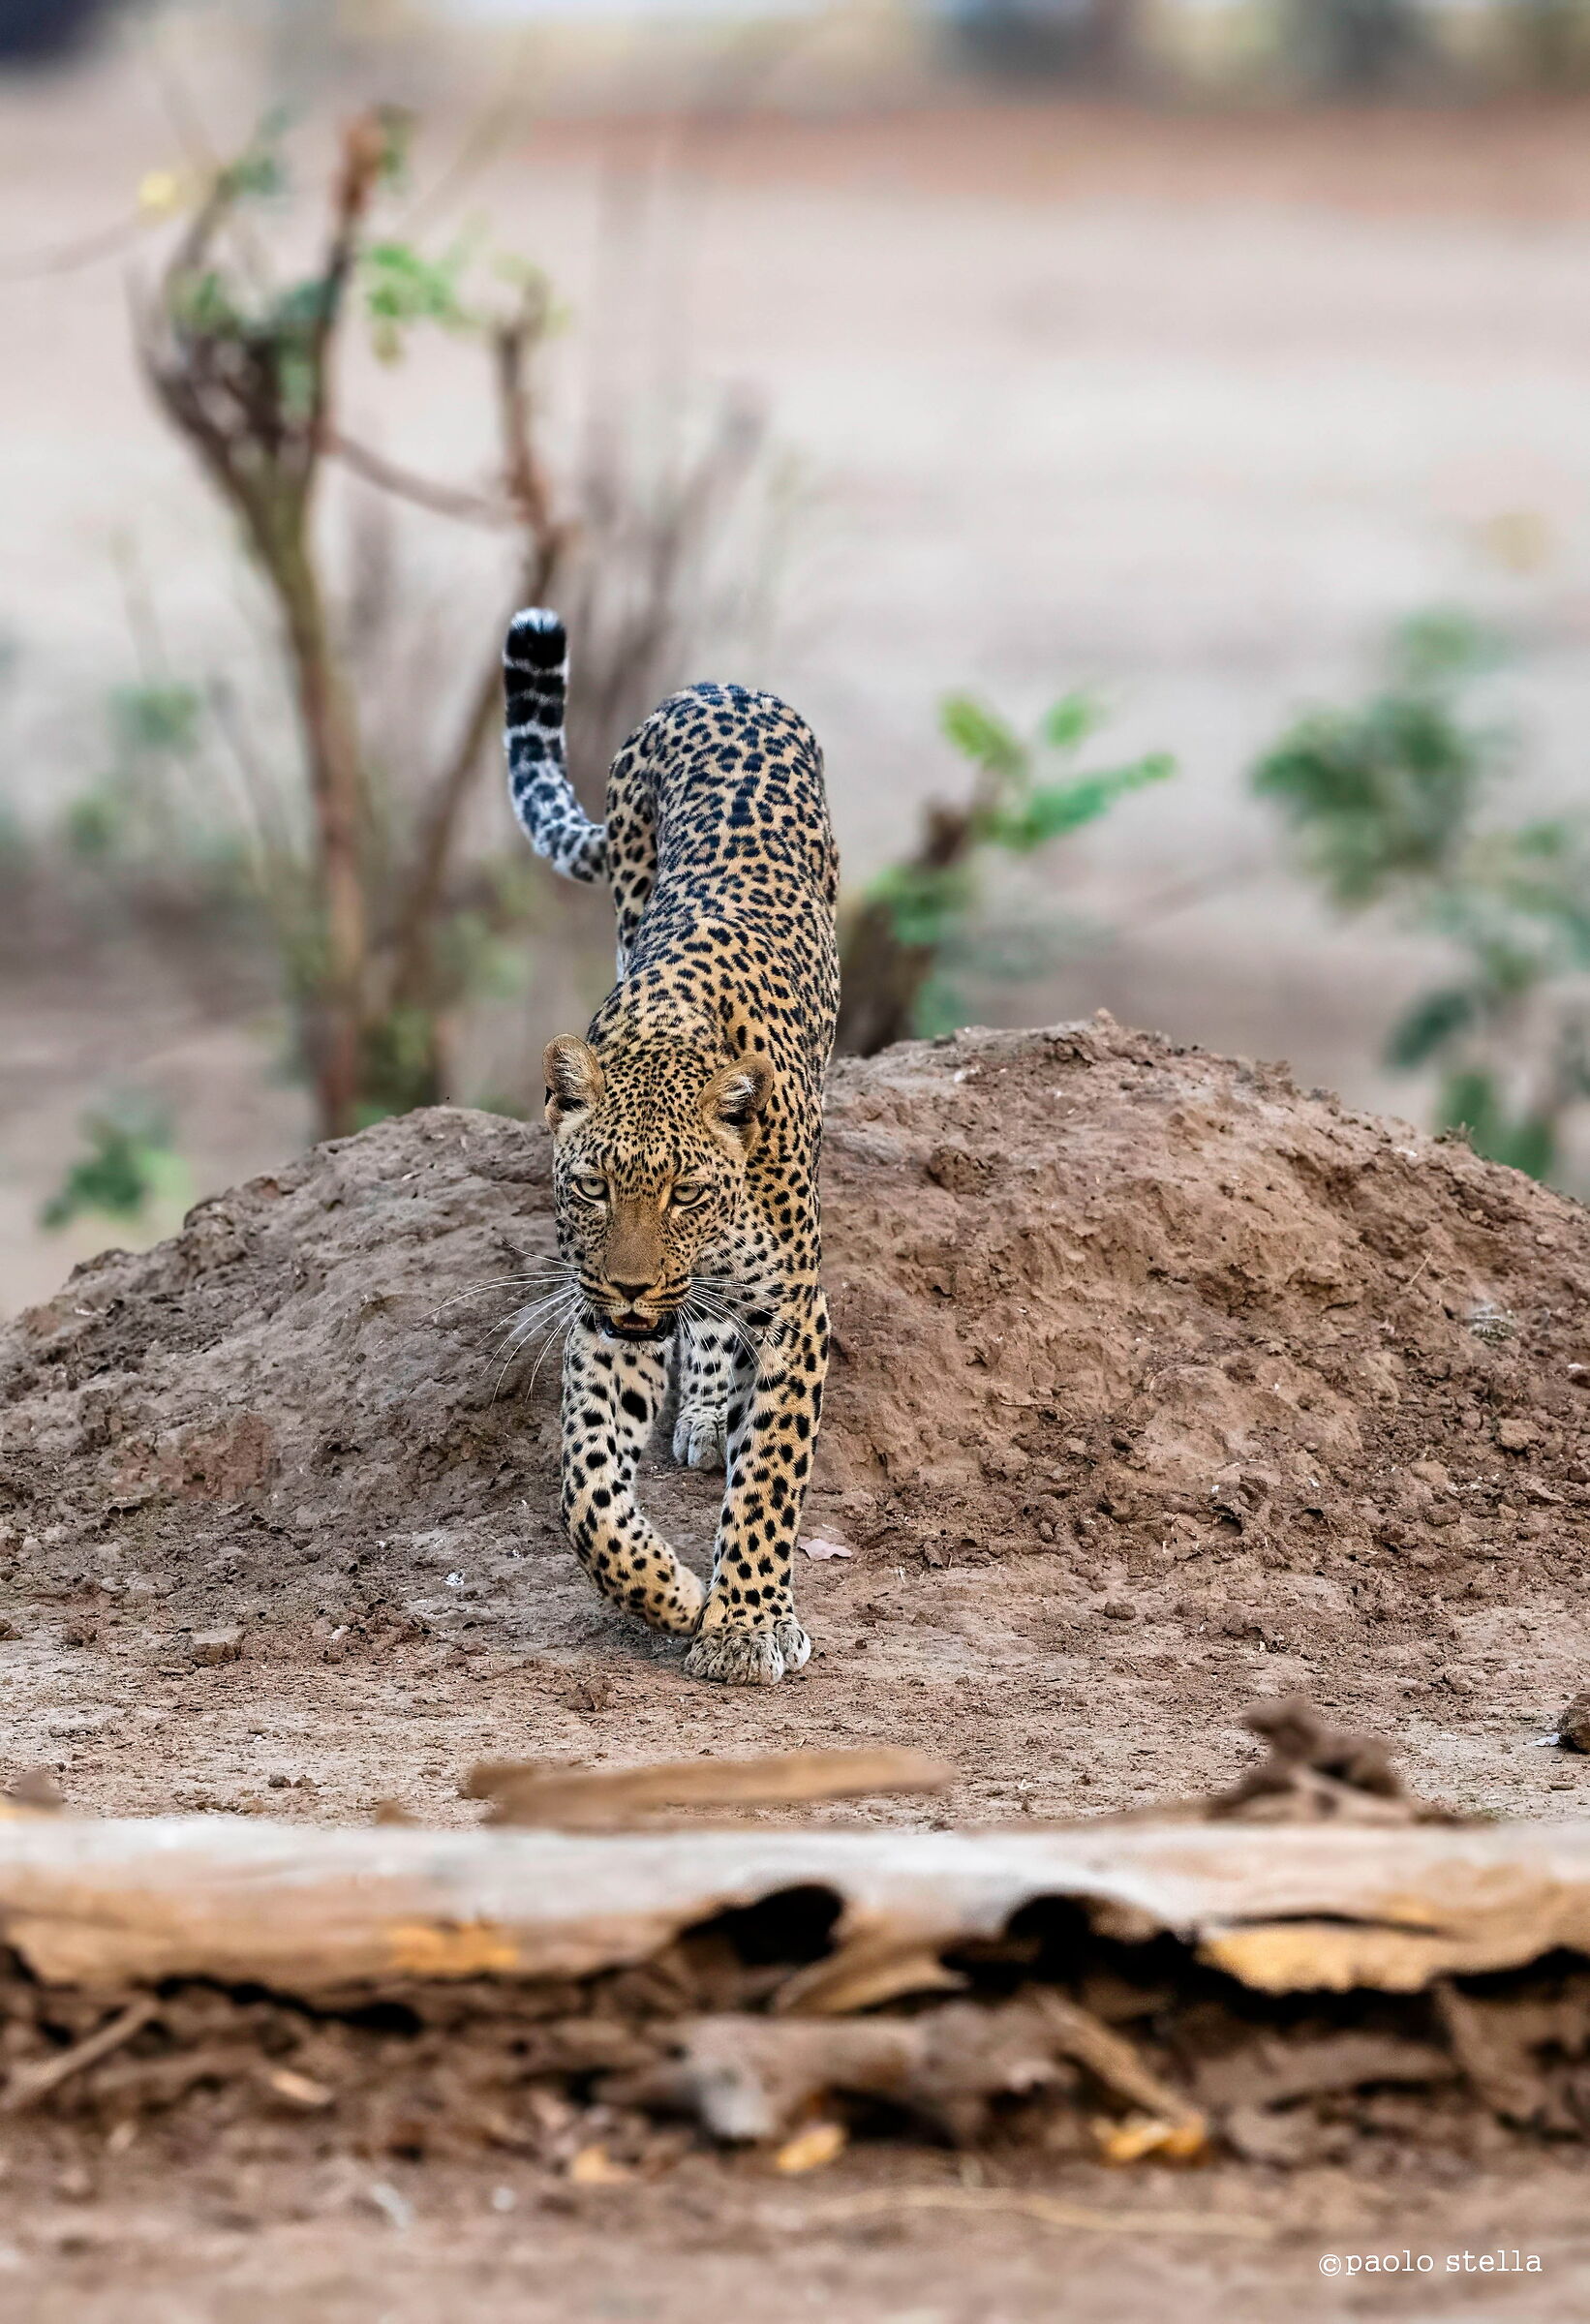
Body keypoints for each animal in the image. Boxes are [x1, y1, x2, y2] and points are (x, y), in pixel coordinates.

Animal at [502, 606, 839, 1685]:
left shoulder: (798, 1312)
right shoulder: (602, 1320)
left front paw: (744, 1622)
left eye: (689, 1193)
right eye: (594, 1189)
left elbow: (770, 1478)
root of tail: (715, 685)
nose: (639, 1284)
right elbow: (587, 1496)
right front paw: (673, 1595)